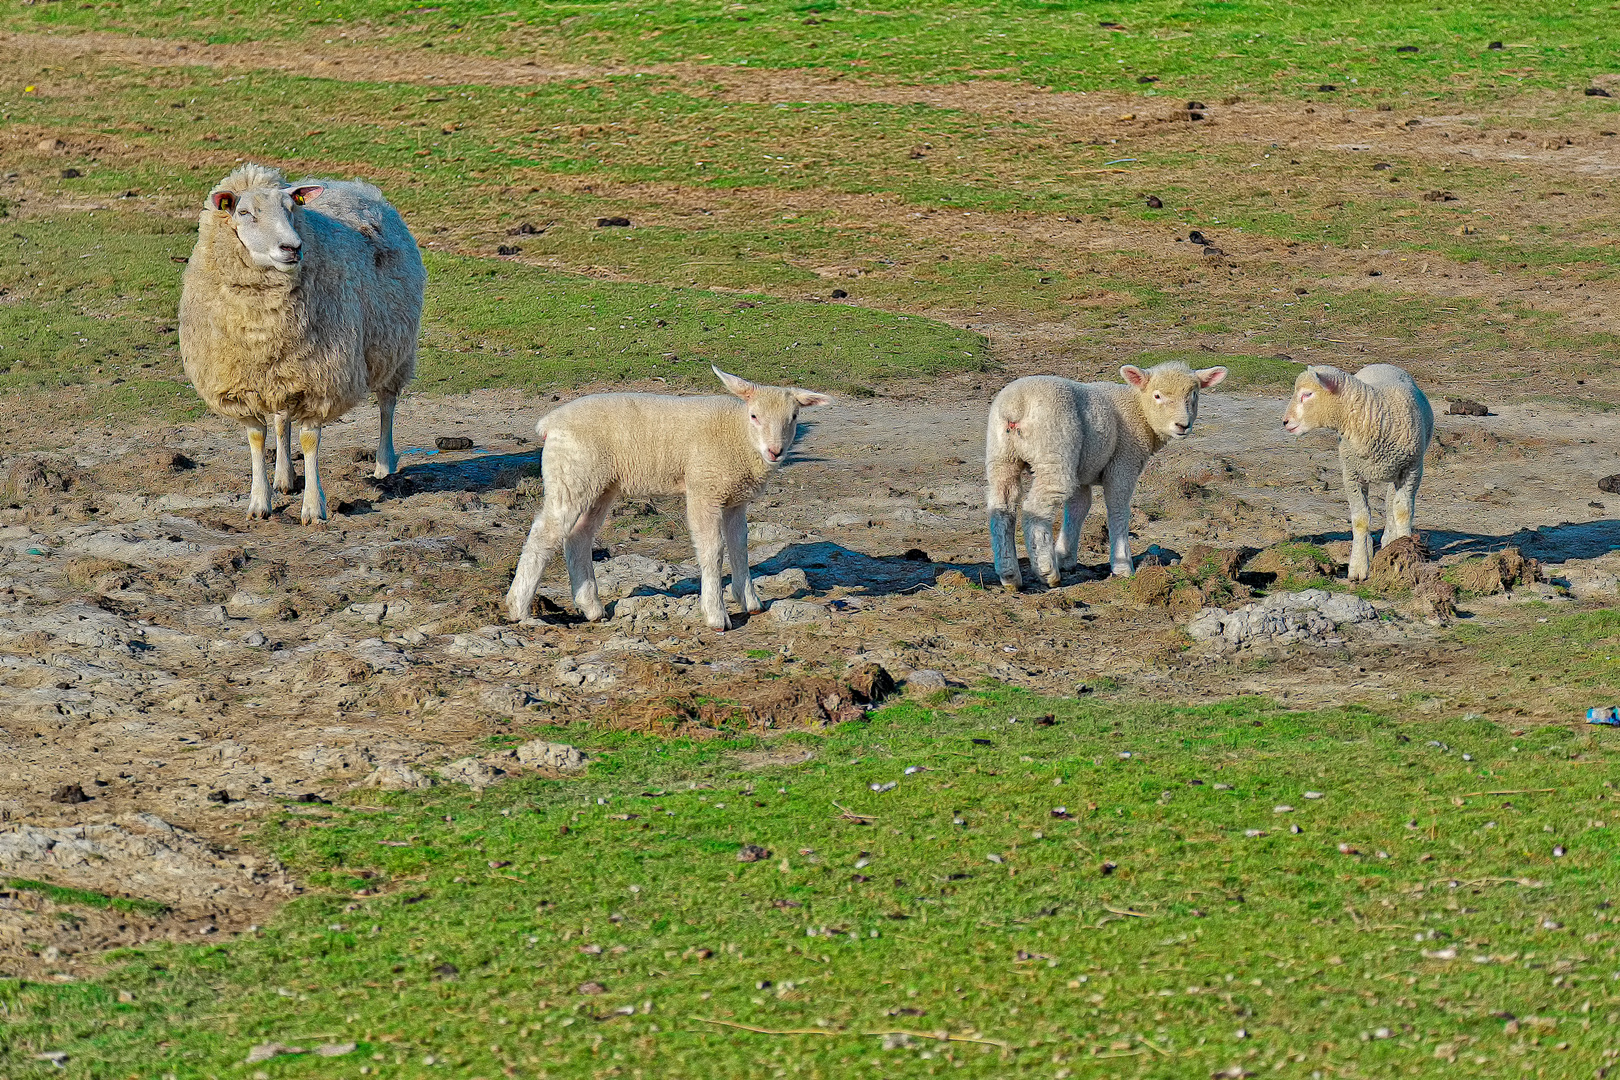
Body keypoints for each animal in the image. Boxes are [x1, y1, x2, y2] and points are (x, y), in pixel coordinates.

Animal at [180, 161, 427, 527]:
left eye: (291, 209)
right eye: (244, 212)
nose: (292, 247)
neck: (261, 324)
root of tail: (355, 186)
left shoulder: (320, 379)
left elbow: (310, 440)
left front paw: (313, 507)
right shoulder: (244, 382)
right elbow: (258, 437)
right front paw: (259, 502)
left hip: (393, 346)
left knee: (386, 403)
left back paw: (384, 464)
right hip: (285, 369)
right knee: (282, 420)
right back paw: (284, 476)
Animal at [502, 367, 835, 628]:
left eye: (794, 417)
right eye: (754, 416)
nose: (775, 451)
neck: (738, 436)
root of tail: (550, 423)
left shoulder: (735, 498)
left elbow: (740, 547)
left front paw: (750, 601)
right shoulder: (704, 489)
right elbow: (713, 550)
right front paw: (715, 614)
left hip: (599, 484)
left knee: (578, 536)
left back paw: (591, 607)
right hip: (572, 474)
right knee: (544, 533)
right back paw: (519, 608)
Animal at [984, 361, 1224, 592]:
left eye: (1194, 395)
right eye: (1157, 396)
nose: (1182, 425)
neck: (1139, 410)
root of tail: (1016, 405)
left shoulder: (1082, 470)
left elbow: (1078, 508)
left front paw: (1065, 557)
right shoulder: (1123, 462)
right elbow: (1118, 509)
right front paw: (1123, 566)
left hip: (1002, 455)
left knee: (1002, 508)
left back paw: (1009, 574)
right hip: (1053, 451)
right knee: (1035, 509)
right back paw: (1047, 572)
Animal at [1276, 362, 1432, 582]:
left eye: (1307, 394)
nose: (1285, 422)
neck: (1372, 412)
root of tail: (1381, 364)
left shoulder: (1412, 469)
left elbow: (1402, 511)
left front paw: (1404, 549)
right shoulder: (1351, 475)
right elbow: (1360, 520)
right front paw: (1358, 566)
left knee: (1390, 503)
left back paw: (1389, 540)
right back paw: (1369, 546)